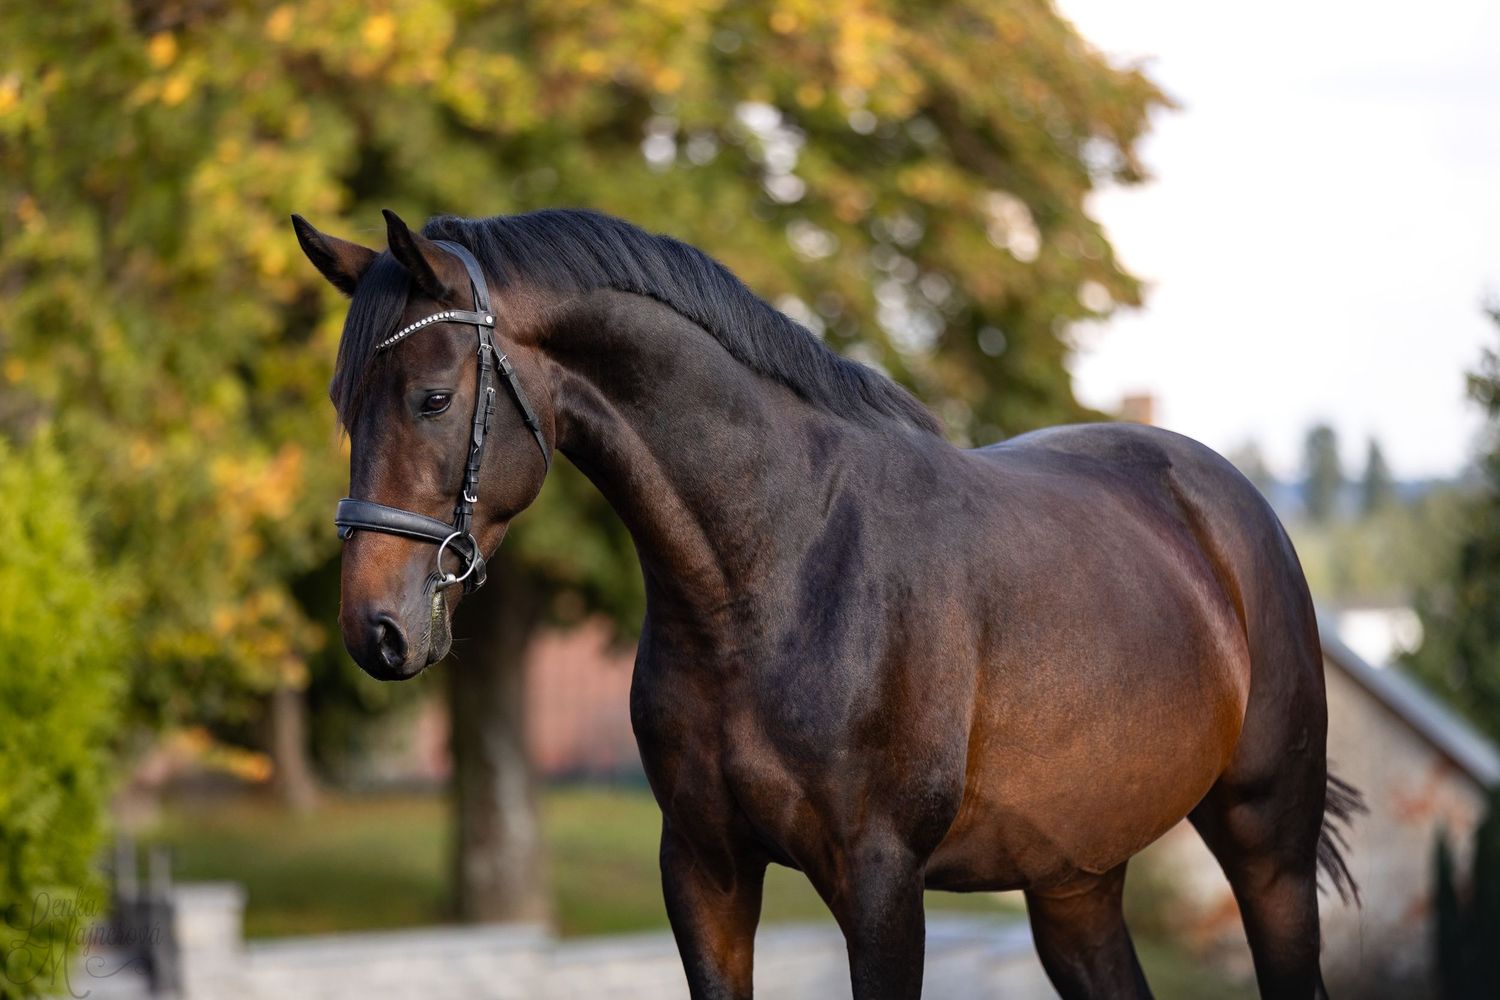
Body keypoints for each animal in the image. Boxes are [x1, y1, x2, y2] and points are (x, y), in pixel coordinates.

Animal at [292, 207, 1360, 999]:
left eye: (432, 398)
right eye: (343, 405)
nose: (377, 631)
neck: (778, 569)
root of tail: (1229, 500)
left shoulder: (882, 885)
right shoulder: (706, 872)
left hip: (1268, 842)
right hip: (1076, 881)